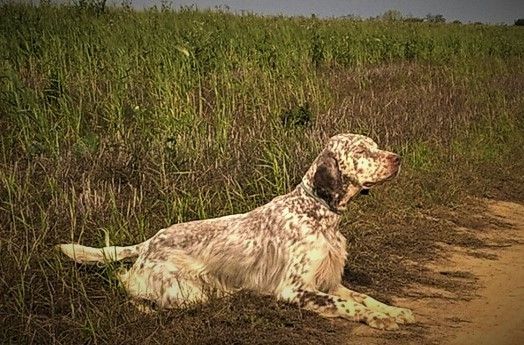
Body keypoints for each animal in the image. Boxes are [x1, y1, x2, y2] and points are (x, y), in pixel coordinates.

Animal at [57, 133, 416, 330]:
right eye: (361, 151)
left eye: (375, 145)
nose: (398, 158)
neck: (317, 211)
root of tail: (148, 241)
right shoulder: (294, 288)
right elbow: (347, 305)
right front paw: (378, 319)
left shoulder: (328, 281)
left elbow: (365, 297)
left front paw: (394, 311)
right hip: (187, 291)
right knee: (127, 286)